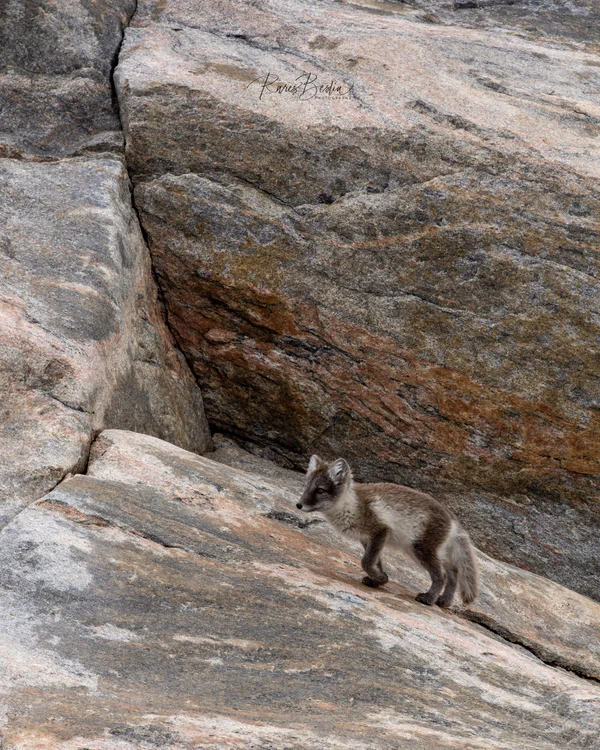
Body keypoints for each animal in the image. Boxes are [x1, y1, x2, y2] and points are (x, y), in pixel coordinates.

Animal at [296, 456, 478, 608]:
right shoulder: (367, 539)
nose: (298, 505)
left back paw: (429, 598)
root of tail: (453, 519)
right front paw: (379, 580)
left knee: (442, 576)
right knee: (454, 572)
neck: (351, 505)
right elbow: (376, 562)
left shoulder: (380, 530)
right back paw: (445, 601)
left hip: (421, 550)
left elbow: (366, 562)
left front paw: (380, 579)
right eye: (306, 487)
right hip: (429, 551)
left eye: (320, 490)